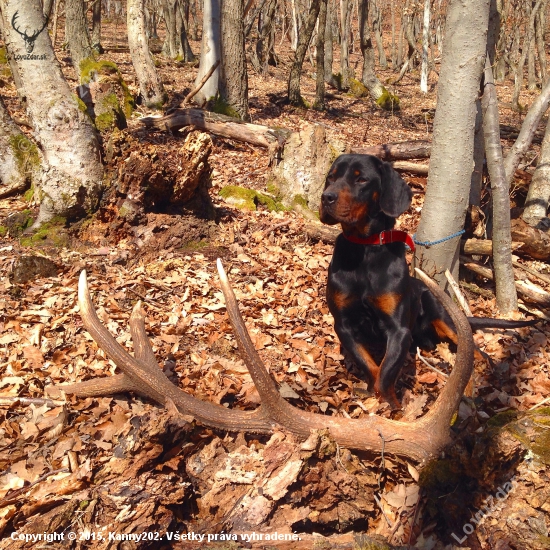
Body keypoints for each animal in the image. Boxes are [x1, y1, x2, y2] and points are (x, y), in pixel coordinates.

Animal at [324, 153, 540, 408]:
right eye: (331, 177)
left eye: (361, 179)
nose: (326, 197)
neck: (365, 250)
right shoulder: (344, 324)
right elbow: (372, 367)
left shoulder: (398, 329)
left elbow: (386, 373)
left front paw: (392, 407)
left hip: (444, 318)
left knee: (476, 352)